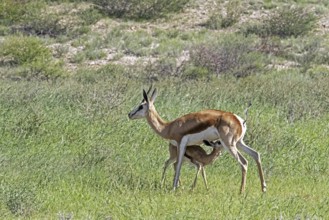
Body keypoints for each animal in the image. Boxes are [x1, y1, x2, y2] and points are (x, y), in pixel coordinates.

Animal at [127, 87, 266, 193]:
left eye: (141, 106)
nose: (129, 114)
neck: (169, 127)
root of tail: (238, 120)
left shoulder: (181, 143)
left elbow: (178, 165)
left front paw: (174, 188)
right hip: (239, 143)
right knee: (256, 154)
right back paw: (263, 189)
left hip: (229, 144)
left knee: (244, 162)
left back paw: (241, 192)